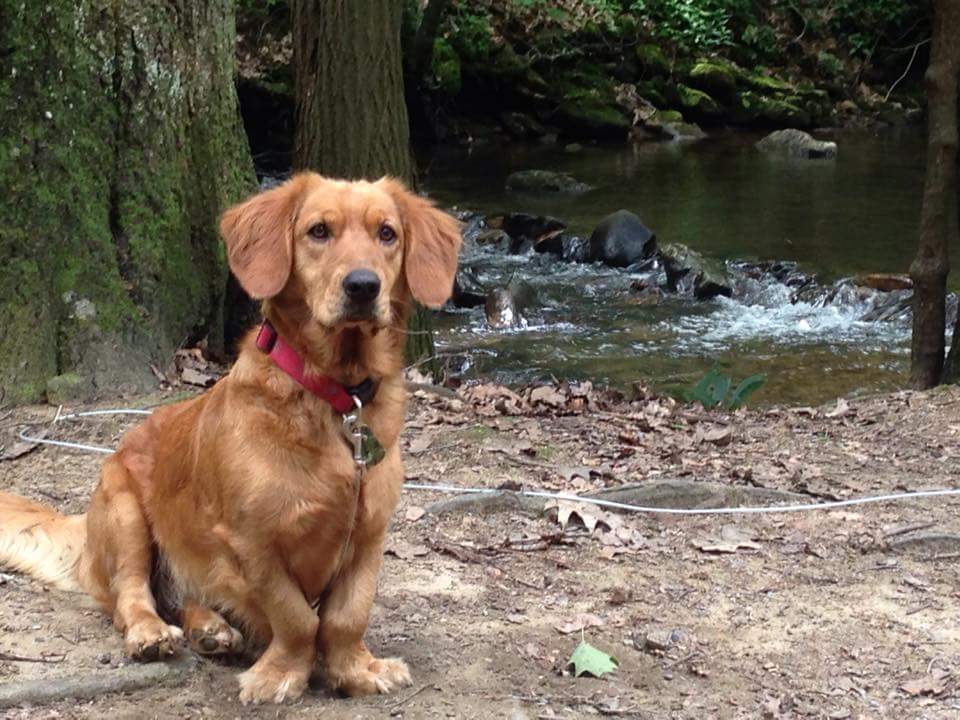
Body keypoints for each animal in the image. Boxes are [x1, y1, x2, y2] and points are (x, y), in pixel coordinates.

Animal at [0, 173, 462, 704]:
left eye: (387, 234)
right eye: (318, 231)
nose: (364, 286)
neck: (334, 398)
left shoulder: (368, 535)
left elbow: (347, 616)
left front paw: (356, 670)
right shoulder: (253, 543)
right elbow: (297, 618)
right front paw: (282, 674)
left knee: (183, 597)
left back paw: (210, 627)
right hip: (125, 515)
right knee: (131, 595)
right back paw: (151, 632)